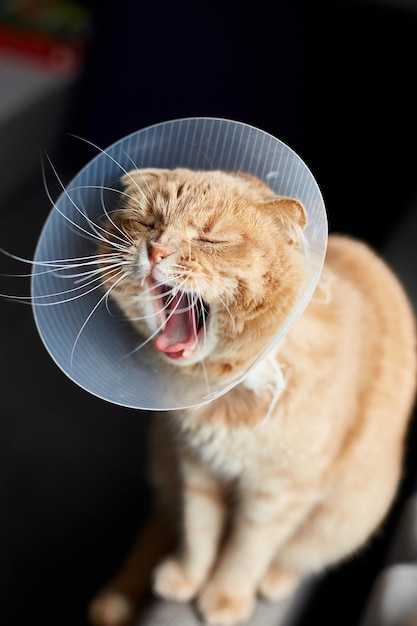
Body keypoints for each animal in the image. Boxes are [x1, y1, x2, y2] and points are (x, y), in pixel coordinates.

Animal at [87, 168, 412, 624]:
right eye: (149, 224)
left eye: (211, 239)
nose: (156, 251)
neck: (229, 393)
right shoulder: (197, 471)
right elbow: (199, 533)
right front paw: (189, 577)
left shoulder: (276, 494)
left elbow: (246, 551)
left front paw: (224, 599)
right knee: (165, 521)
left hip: (349, 515)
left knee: (298, 554)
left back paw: (277, 579)